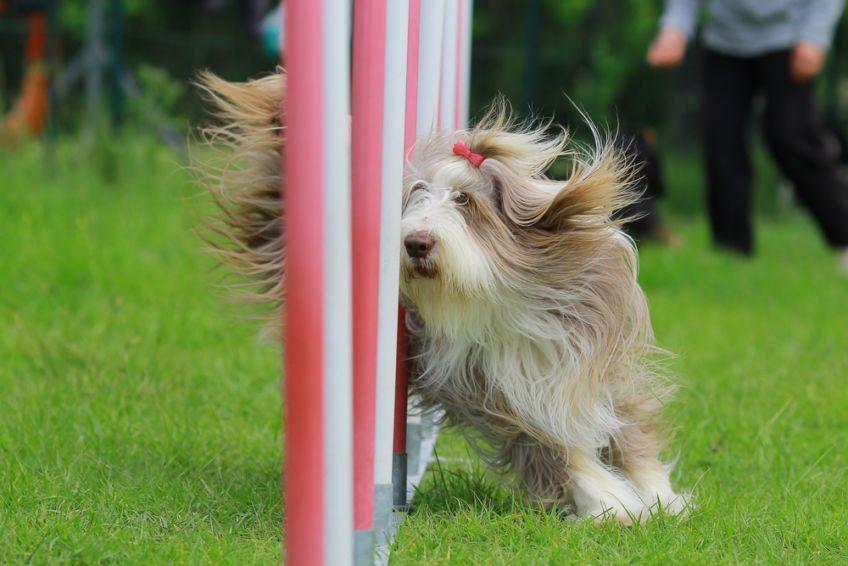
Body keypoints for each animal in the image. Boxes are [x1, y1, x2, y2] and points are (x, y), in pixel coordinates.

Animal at [199, 72, 688, 528]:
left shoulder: (592, 364)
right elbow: (558, 449)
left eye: (464, 200)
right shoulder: (497, 395)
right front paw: (613, 504)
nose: (416, 242)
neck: (506, 302)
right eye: (415, 197)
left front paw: (660, 496)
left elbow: (627, 429)